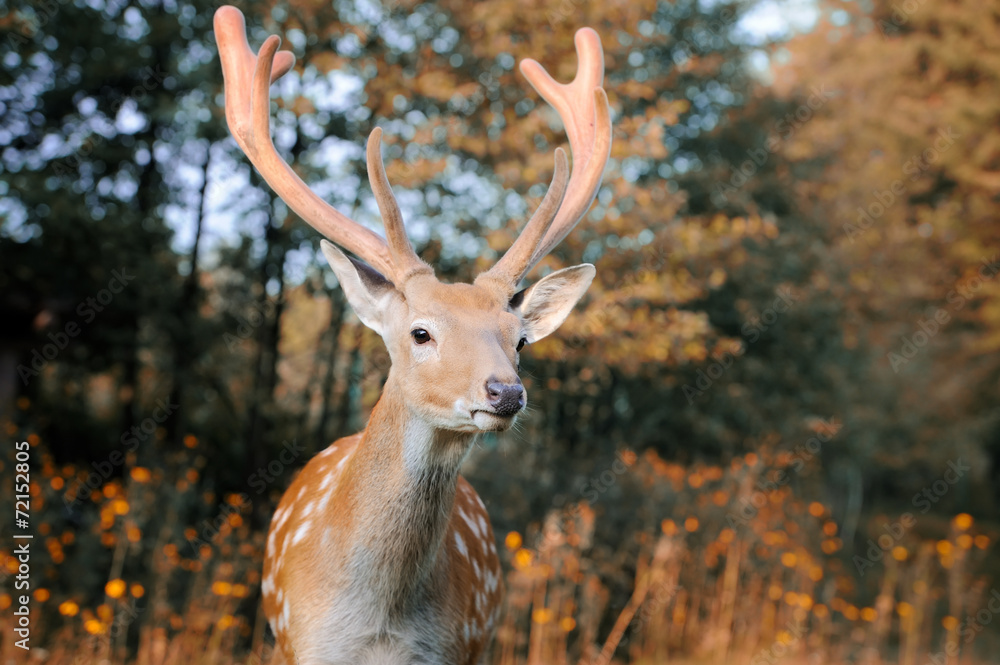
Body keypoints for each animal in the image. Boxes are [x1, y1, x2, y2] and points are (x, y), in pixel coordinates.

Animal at [213, 6, 608, 664]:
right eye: (421, 333)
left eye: (520, 340)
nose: (505, 392)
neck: (378, 627)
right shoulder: (299, 641)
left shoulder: (453, 647)